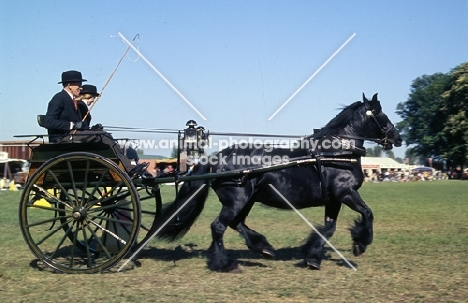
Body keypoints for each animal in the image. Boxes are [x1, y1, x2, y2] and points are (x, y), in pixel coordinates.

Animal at [154, 93, 402, 274]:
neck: (337, 153)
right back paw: (225, 263)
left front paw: (312, 257)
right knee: (219, 226)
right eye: (382, 114)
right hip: (237, 200)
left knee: (237, 224)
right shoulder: (346, 193)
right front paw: (360, 244)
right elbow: (367, 213)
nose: (397, 138)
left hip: (247, 200)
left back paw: (263, 248)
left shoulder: (334, 199)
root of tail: (217, 158)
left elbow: (329, 228)